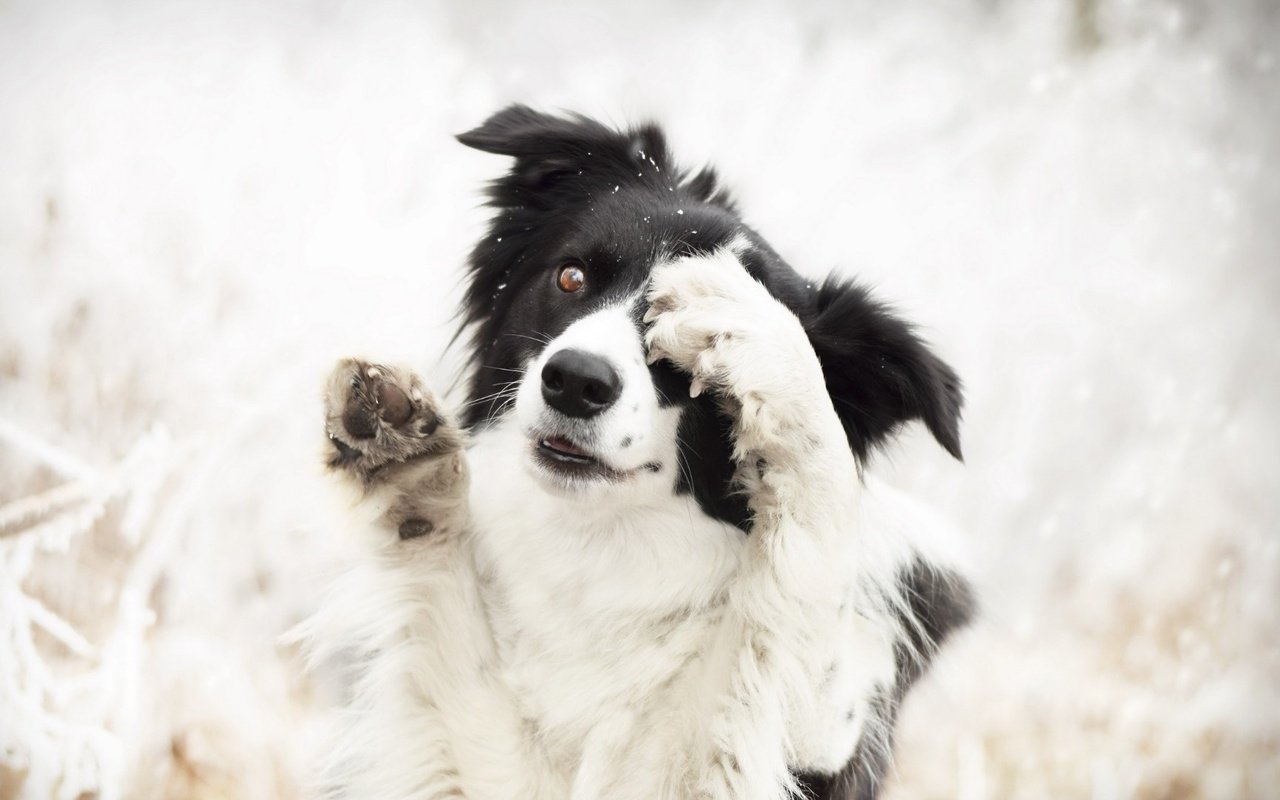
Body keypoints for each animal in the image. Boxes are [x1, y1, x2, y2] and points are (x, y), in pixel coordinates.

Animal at [314, 107, 972, 798]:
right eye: (572, 276)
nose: (574, 381)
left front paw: (755, 326)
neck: (603, 548)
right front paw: (403, 457)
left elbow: (807, 573)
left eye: (696, 362)